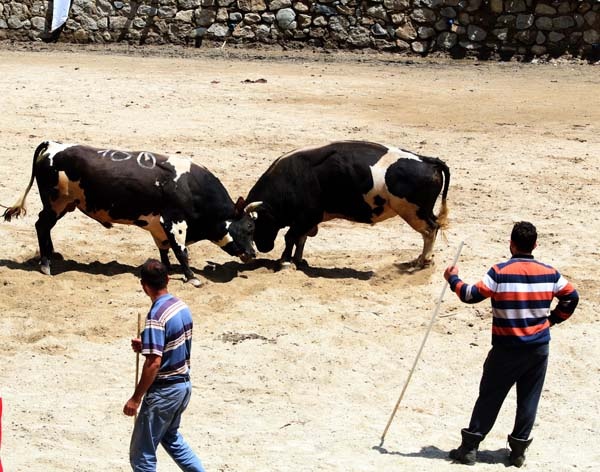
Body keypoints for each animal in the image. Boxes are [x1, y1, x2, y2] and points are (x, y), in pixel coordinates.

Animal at [2, 141, 260, 288]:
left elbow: (164, 250)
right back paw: (46, 264)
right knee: (41, 226)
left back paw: (51, 255)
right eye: (249, 228)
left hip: (65, 205)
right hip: (55, 204)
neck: (188, 185)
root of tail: (53, 145)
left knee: (44, 227)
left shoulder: (158, 226)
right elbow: (181, 252)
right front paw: (191, 277)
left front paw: (166, 270)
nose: (252, 254)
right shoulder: (175, 222)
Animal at [245, 140, 450, 270]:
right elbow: (300, 239)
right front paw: (298, 260)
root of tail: (427, 160)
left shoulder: (306, 217)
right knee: (433, 227)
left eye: (254, 225)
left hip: (415, 212)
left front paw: (285, 261)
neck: (290, 179)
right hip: (421, 211)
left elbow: (290, 237)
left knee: (430, 230)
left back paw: (423, 261)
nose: (262, 248)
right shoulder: (308, 220)